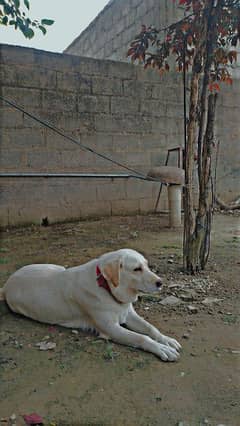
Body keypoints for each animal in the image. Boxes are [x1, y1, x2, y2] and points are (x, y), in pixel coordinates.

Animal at [0, 248, 180, 362]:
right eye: (137, 269)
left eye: (147, 265)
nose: (160, 282)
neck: (106, 286)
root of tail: (7, 284)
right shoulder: (110, 329)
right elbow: (142, 337)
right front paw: (161, 348)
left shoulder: (129, 314)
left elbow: (151, 329)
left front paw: (167, 340)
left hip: (56, 267)